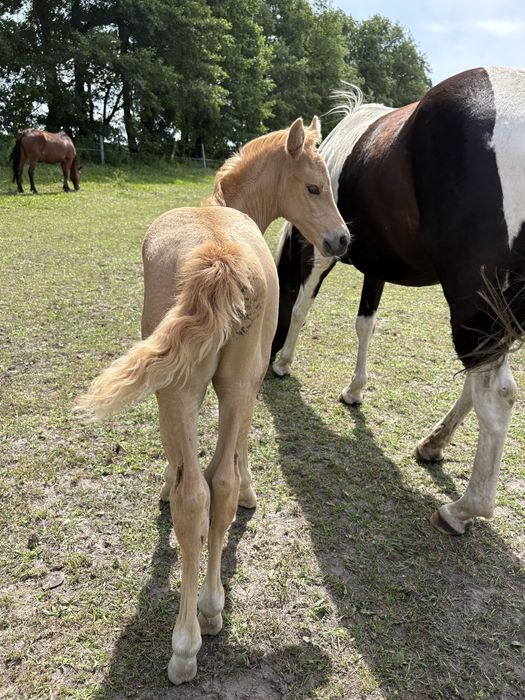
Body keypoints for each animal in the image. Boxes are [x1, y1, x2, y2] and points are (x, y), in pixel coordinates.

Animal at [75, 116, 349, 685]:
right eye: (314, 188)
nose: (343, 239)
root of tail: (219, 257)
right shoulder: (243, 385)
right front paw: (246, 491)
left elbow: (190, 468)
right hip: (223, 384)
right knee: (212, 488)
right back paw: (210, 610)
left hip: (179, 389)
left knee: (196, 496)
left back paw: (187, 642)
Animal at [271, 67, 525, 537]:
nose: (263, 361)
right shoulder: (375, 264)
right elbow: (365, 324)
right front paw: (354, 391)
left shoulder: (322, 251)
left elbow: (300, 308)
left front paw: (283, 363)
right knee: (476, 384)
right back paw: (433, 443)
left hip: (475, 306)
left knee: (496, 395)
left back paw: (463, 509)